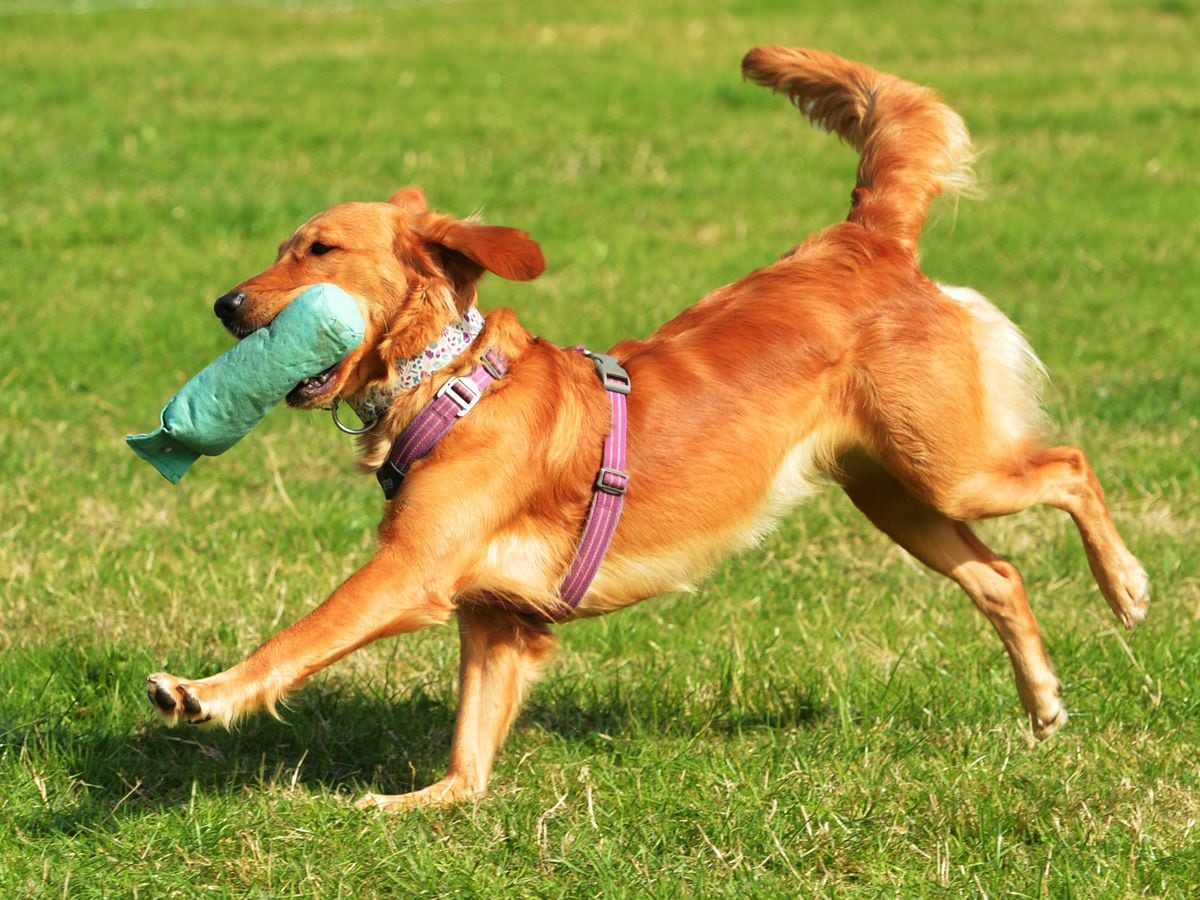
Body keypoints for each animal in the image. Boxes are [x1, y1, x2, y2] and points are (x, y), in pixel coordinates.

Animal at [145, 47, 1147, 811]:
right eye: (279, 249)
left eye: (317, 250)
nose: (225, 305)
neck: (453, 385)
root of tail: (861, 240)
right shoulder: (499, 621)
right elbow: (469, 763)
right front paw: (417, 806)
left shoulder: (410, 571)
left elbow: (300, 640)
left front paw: (203, 692)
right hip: (895, 494)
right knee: (1001, 575)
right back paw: (1044, 704)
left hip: (951, 468)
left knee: (1070, 465)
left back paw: (1128, 587)